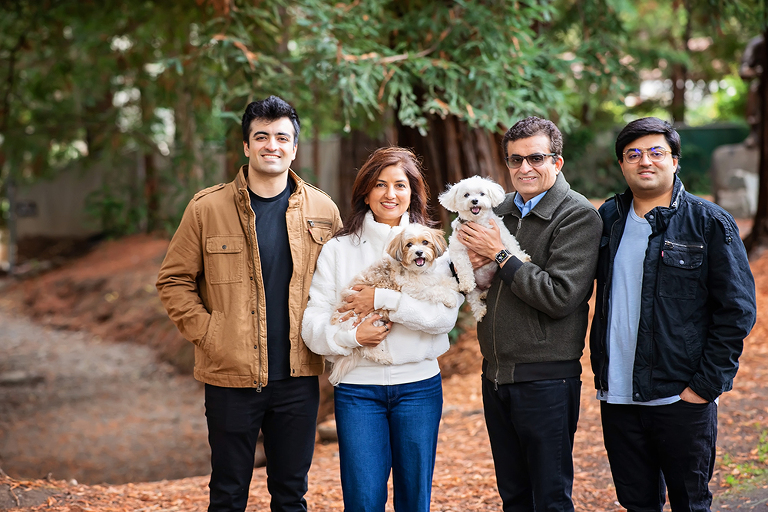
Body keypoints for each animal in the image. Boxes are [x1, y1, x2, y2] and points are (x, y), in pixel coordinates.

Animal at [328, 223, 460, 384]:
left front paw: (456, 284)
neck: (418, 272)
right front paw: (450, 298)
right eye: (409, 245)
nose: (419, 252)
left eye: (425, 242)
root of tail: (335, 320)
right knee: (366, 349)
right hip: (367, 321)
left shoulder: (431, 278)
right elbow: (435, 290)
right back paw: (383, 357)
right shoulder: (415, 289)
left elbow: (442, 280)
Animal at [438, 176, 528, 320]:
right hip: (473, 292)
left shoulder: (501, 233)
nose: (474, 200)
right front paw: (466, 283)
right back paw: (480, 309)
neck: (477, 222)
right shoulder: (457, 249)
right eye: (466, 195)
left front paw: (522, 257)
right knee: (474, 300)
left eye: (482, 194)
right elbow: (463, 266)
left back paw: (484, 294)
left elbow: (511, 244)